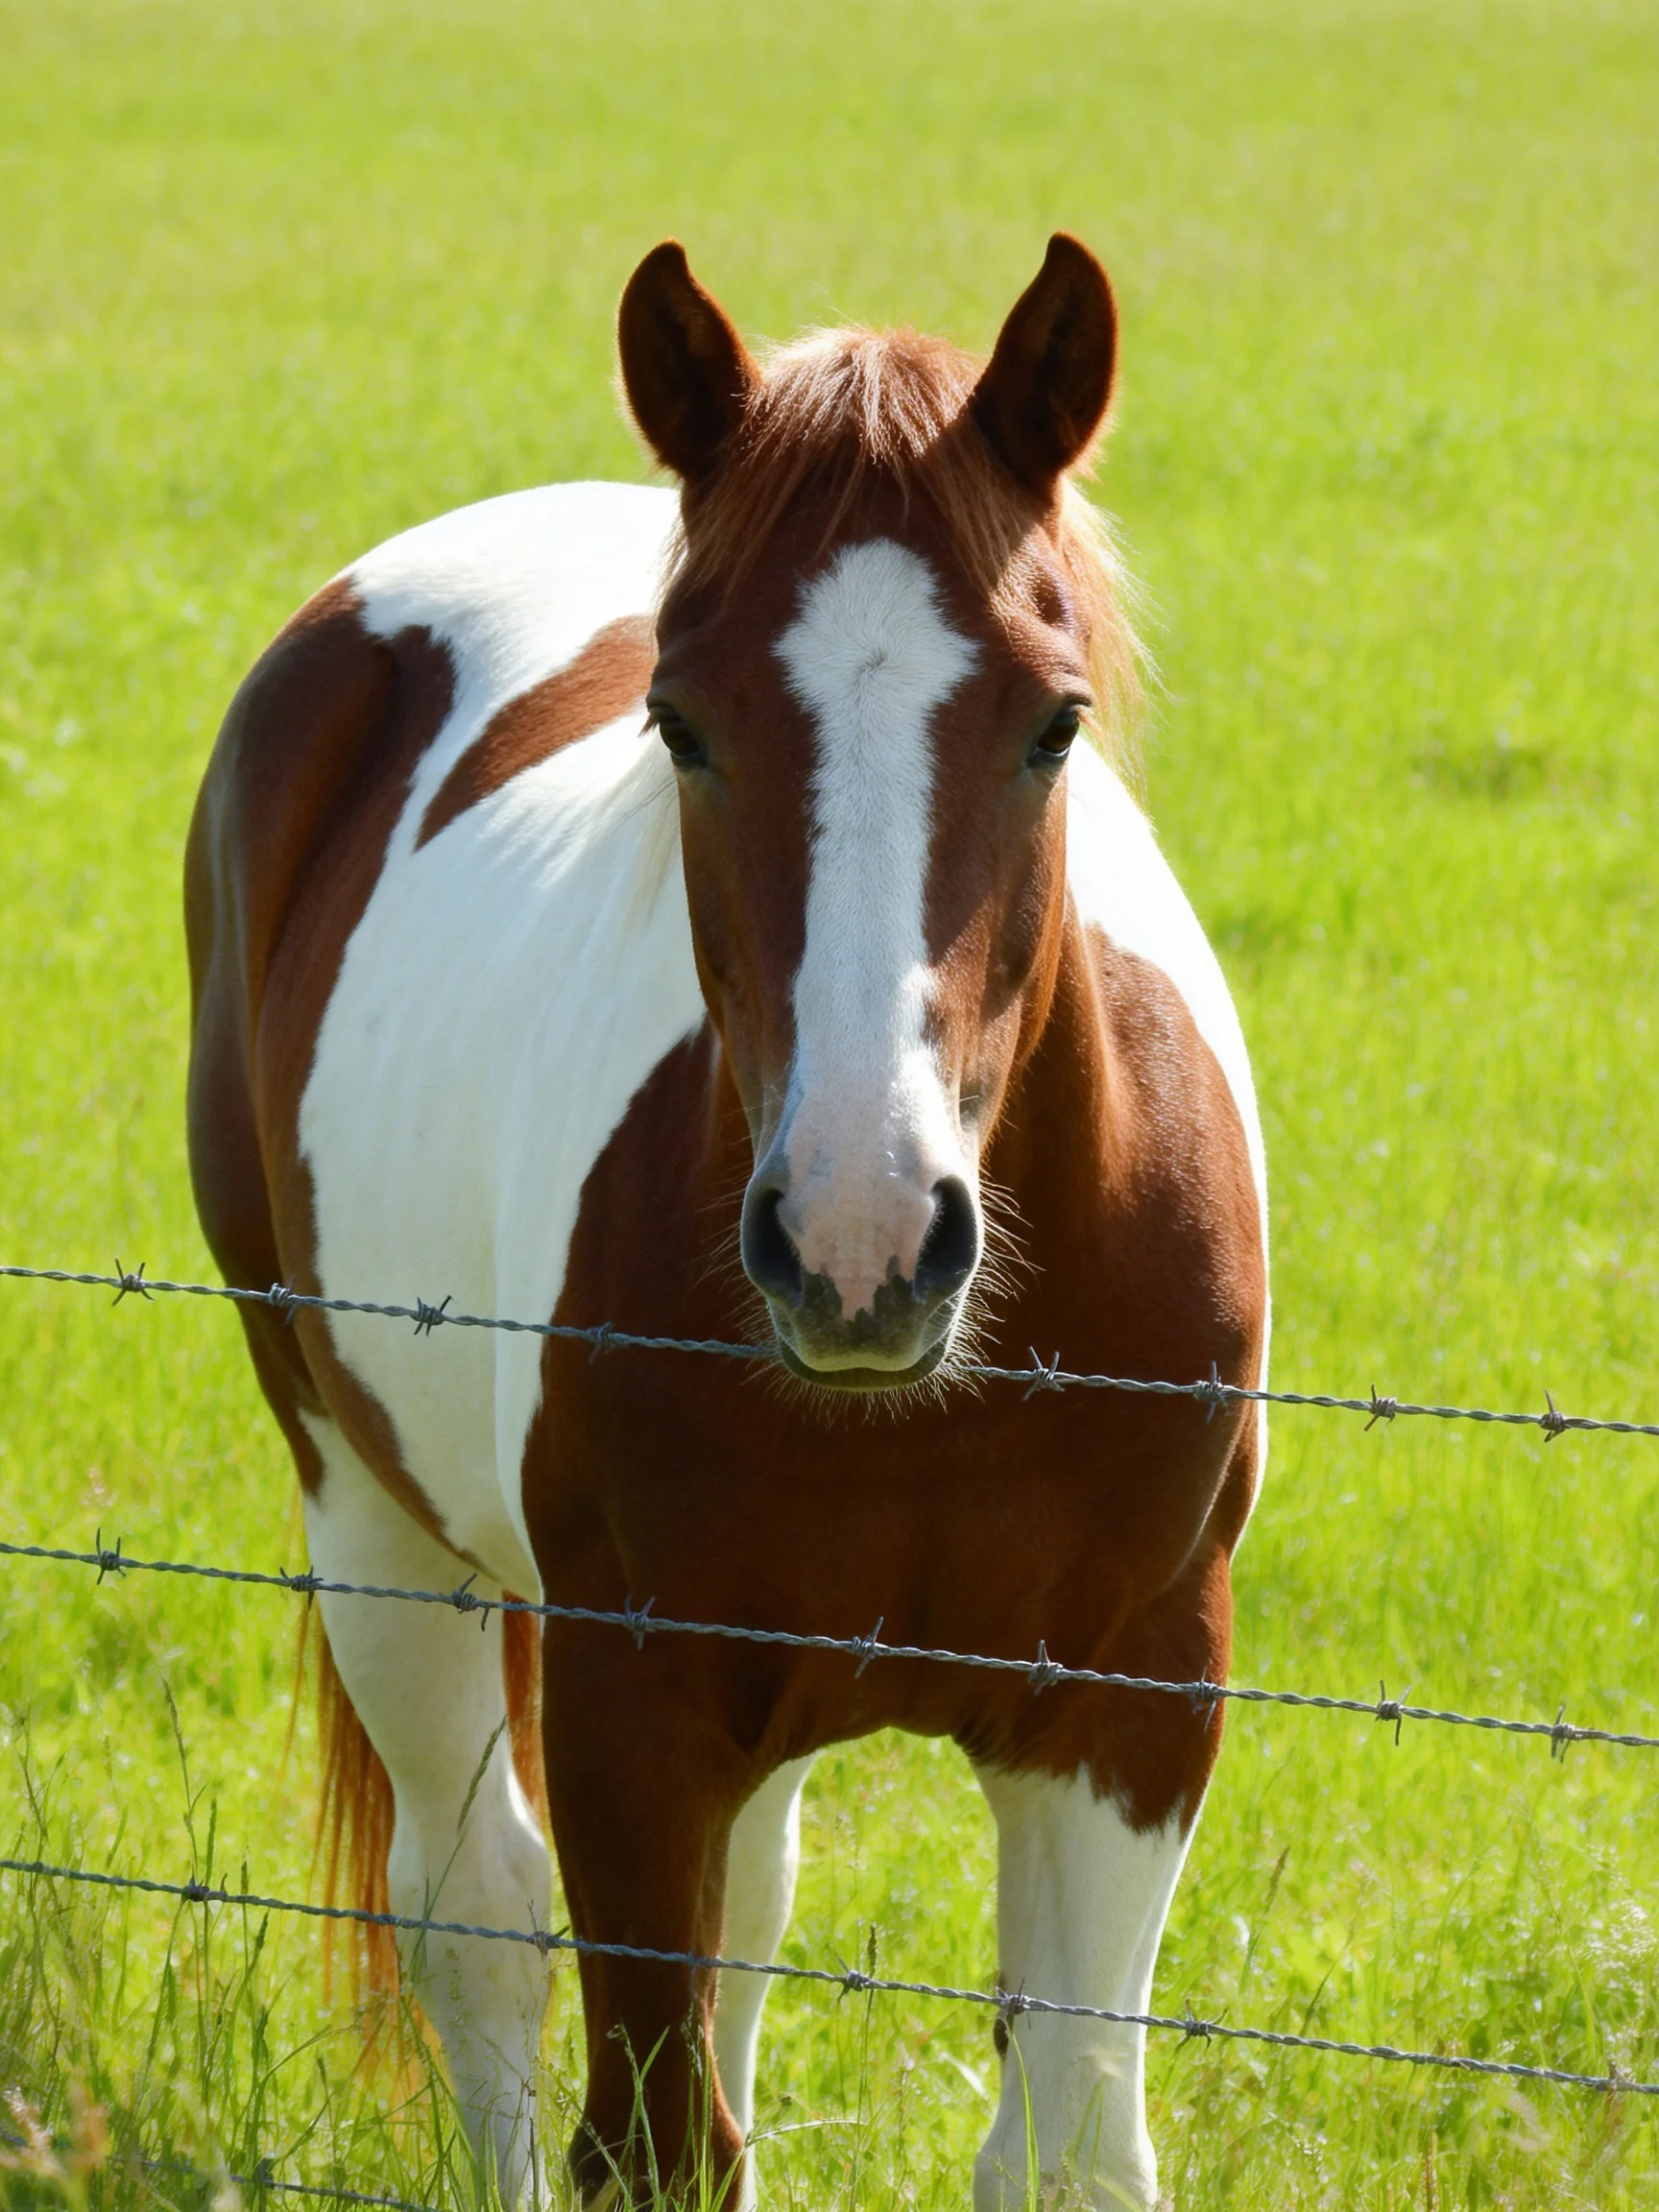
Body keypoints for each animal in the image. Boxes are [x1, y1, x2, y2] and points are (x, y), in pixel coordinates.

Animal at [184, 233, 1268, 2210]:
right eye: (678, 723)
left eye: (1053, 721)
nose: (860, 1247)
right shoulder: (638, 1707)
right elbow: (649, 2134)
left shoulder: (1135, 1704)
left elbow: (1068, 2143)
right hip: (366, 1506)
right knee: (475, 1913)